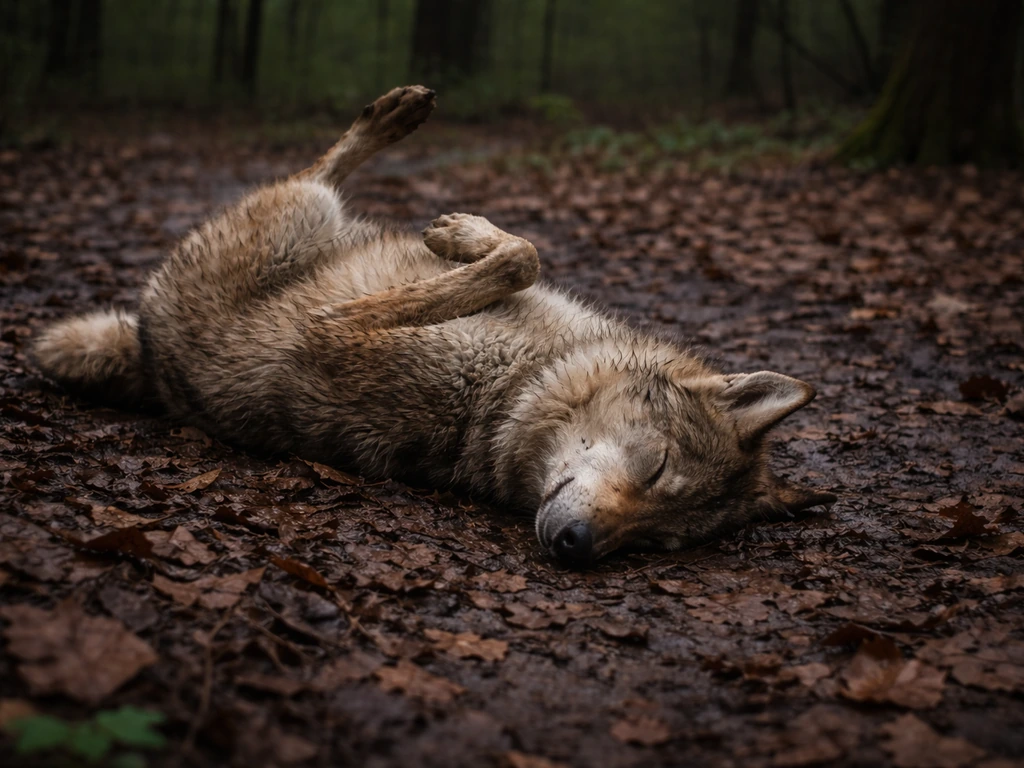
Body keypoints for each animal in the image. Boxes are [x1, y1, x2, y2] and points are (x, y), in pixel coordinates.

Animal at [33, 85, 835, 566]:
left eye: (656, 542)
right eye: (657, 467)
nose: (576, 546)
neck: (517, 385)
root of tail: (144, 349)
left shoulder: (333, 327)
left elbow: (518, 258)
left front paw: (464, 239)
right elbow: (525, 252)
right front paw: (461, 233)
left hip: (298, 216)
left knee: (320, 171)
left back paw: (391, 119)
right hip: (306, 215)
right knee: (325, 166)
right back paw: (400, 113)